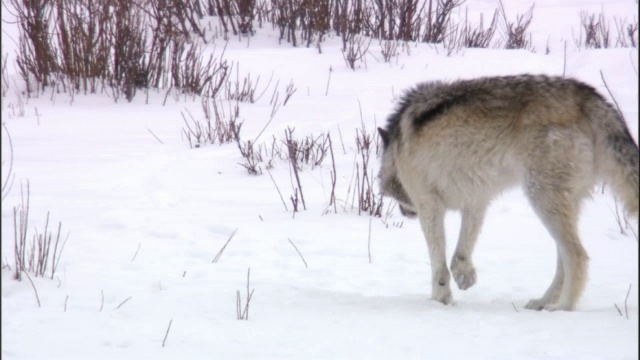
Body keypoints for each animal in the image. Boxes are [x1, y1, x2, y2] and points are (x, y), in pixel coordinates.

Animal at [378, 74, 636, 310]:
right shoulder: (476, 201)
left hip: (541, 199)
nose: (405, 212)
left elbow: (438, 263)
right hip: (559, 205)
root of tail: (587, 94)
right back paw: (542, 302)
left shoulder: (428, 205)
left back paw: (562, 308)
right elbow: (461, 252)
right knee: (563, 261)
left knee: (578, 255)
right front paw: (464, 276)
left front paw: (439, 300)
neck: (396, 150)